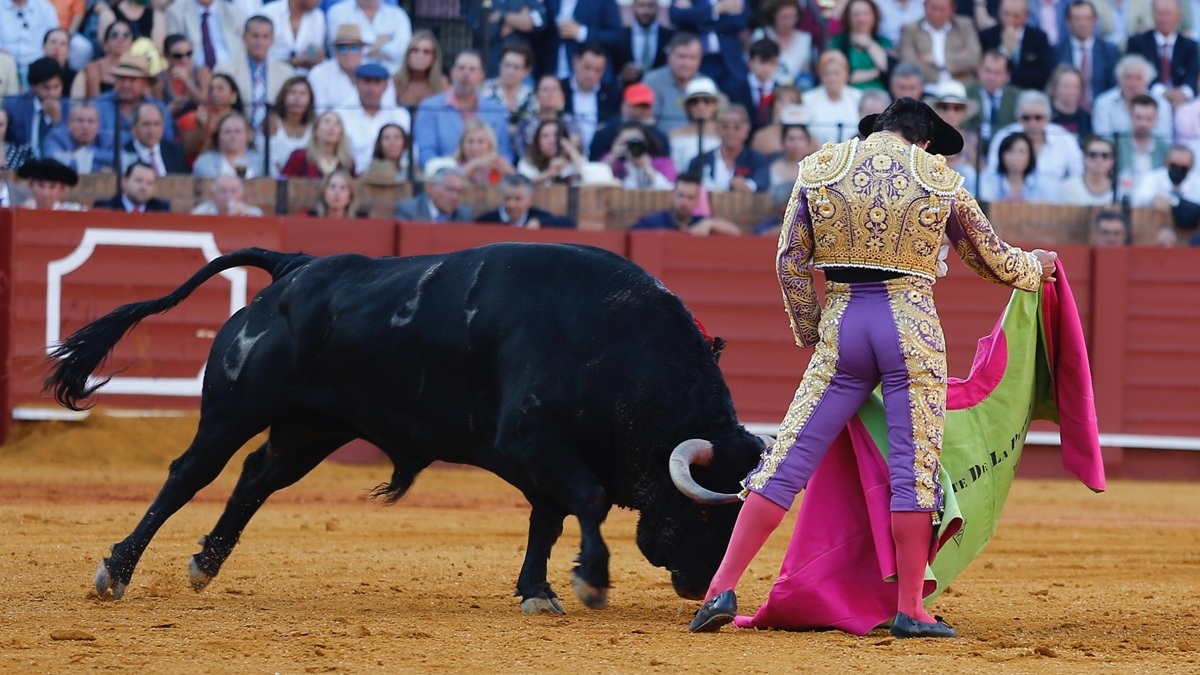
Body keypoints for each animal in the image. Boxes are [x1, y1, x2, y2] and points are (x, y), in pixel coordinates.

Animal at [46, 241, 763, 610]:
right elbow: (584, 501)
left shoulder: (542, 459)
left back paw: (205, 562)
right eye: (708, 514)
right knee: (189, 474)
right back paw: (117, 570)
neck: (615, 346)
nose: (702, 585)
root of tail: (295, 270)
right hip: (234, 407)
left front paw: (536, 590)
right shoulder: (532, 441)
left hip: (313, 428)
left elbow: (548, 519)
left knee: (256, 477)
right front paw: (589, 580)